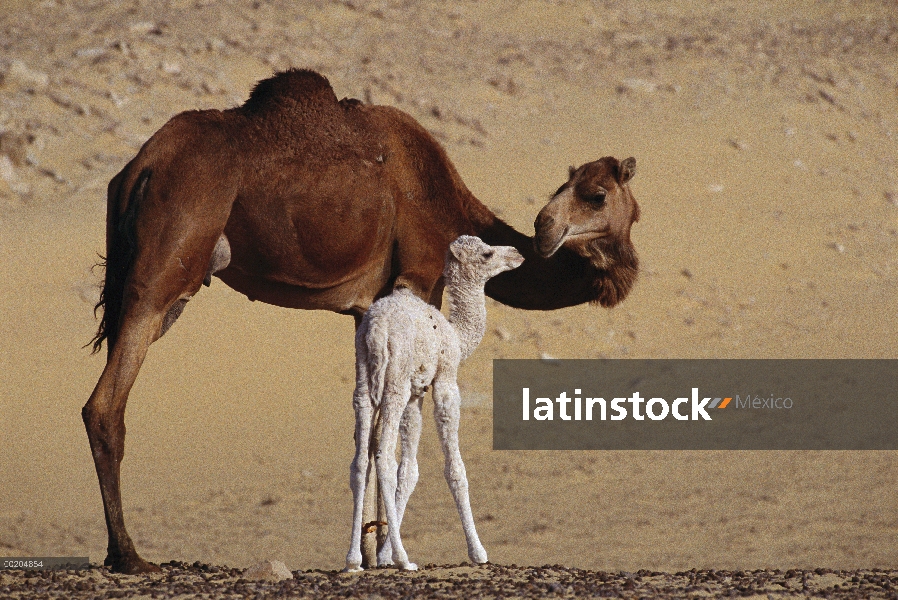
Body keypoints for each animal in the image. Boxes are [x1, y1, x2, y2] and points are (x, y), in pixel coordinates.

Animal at [84, 68, 640, 576]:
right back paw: (129, 555)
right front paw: (392, 553)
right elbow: (398, 445)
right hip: (163, 269)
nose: (545, 230)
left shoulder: (368, 311)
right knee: (104, 406)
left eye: (594, 193)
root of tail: (140, 168)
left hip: (145, 282)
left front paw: (371, 552)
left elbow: (369, 436)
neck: (439, 196)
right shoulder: (418, 277)